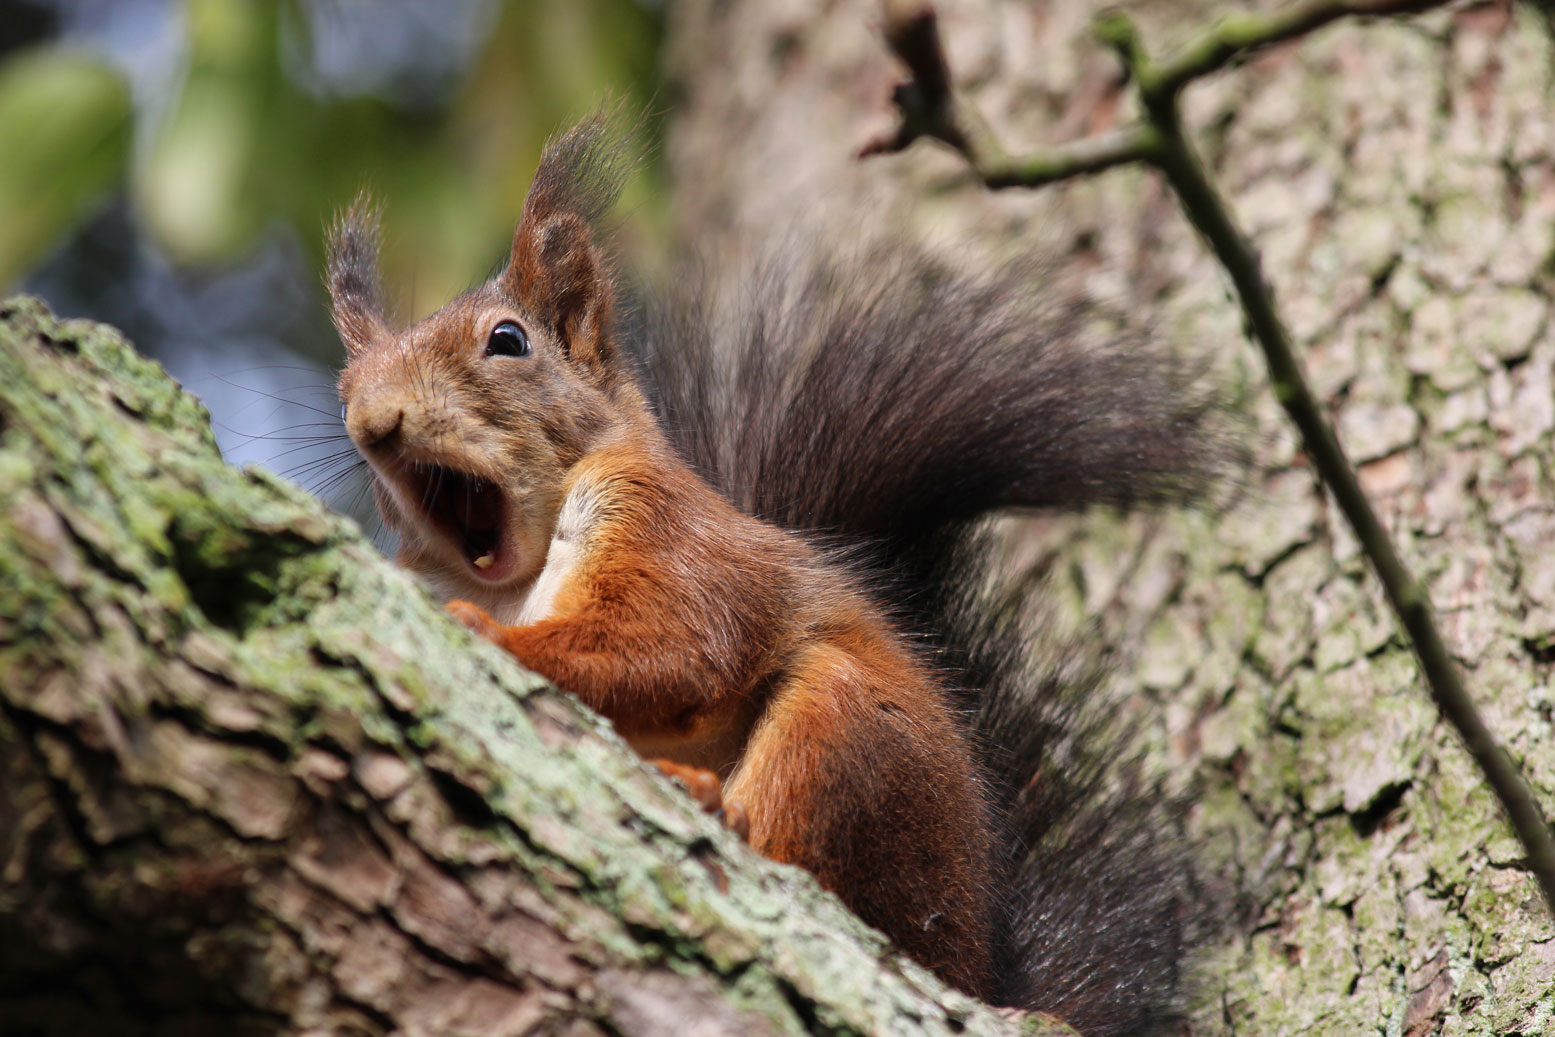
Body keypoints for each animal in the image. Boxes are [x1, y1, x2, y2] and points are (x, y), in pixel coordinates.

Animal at [331, 117, 1225, 1032]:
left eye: (506, 340)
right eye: (345, 382)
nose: (371, 419)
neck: (512, 575)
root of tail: (970, 967)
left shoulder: (671, 529)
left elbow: (674, 644)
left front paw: (490, 637)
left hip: (851, 738)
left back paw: (720, 811)